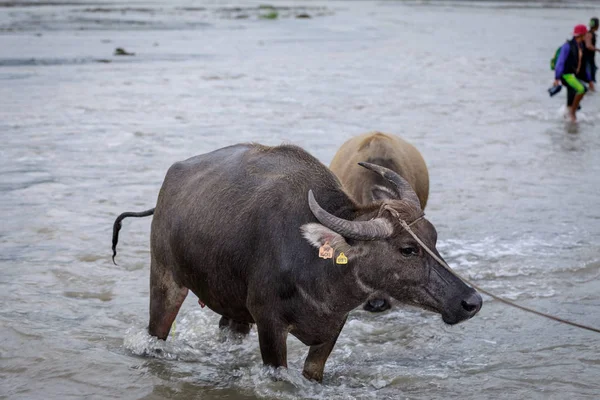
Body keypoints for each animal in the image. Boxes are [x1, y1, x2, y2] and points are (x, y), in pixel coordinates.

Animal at [111, 143, 478, 382]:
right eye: (407, 249)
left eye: (432, 238)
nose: (471, 301)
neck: (318, 269)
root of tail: (170, 182)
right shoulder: (270, 325)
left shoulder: (332, 329)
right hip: (165, 280)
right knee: (156, 332)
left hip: (234, 310)